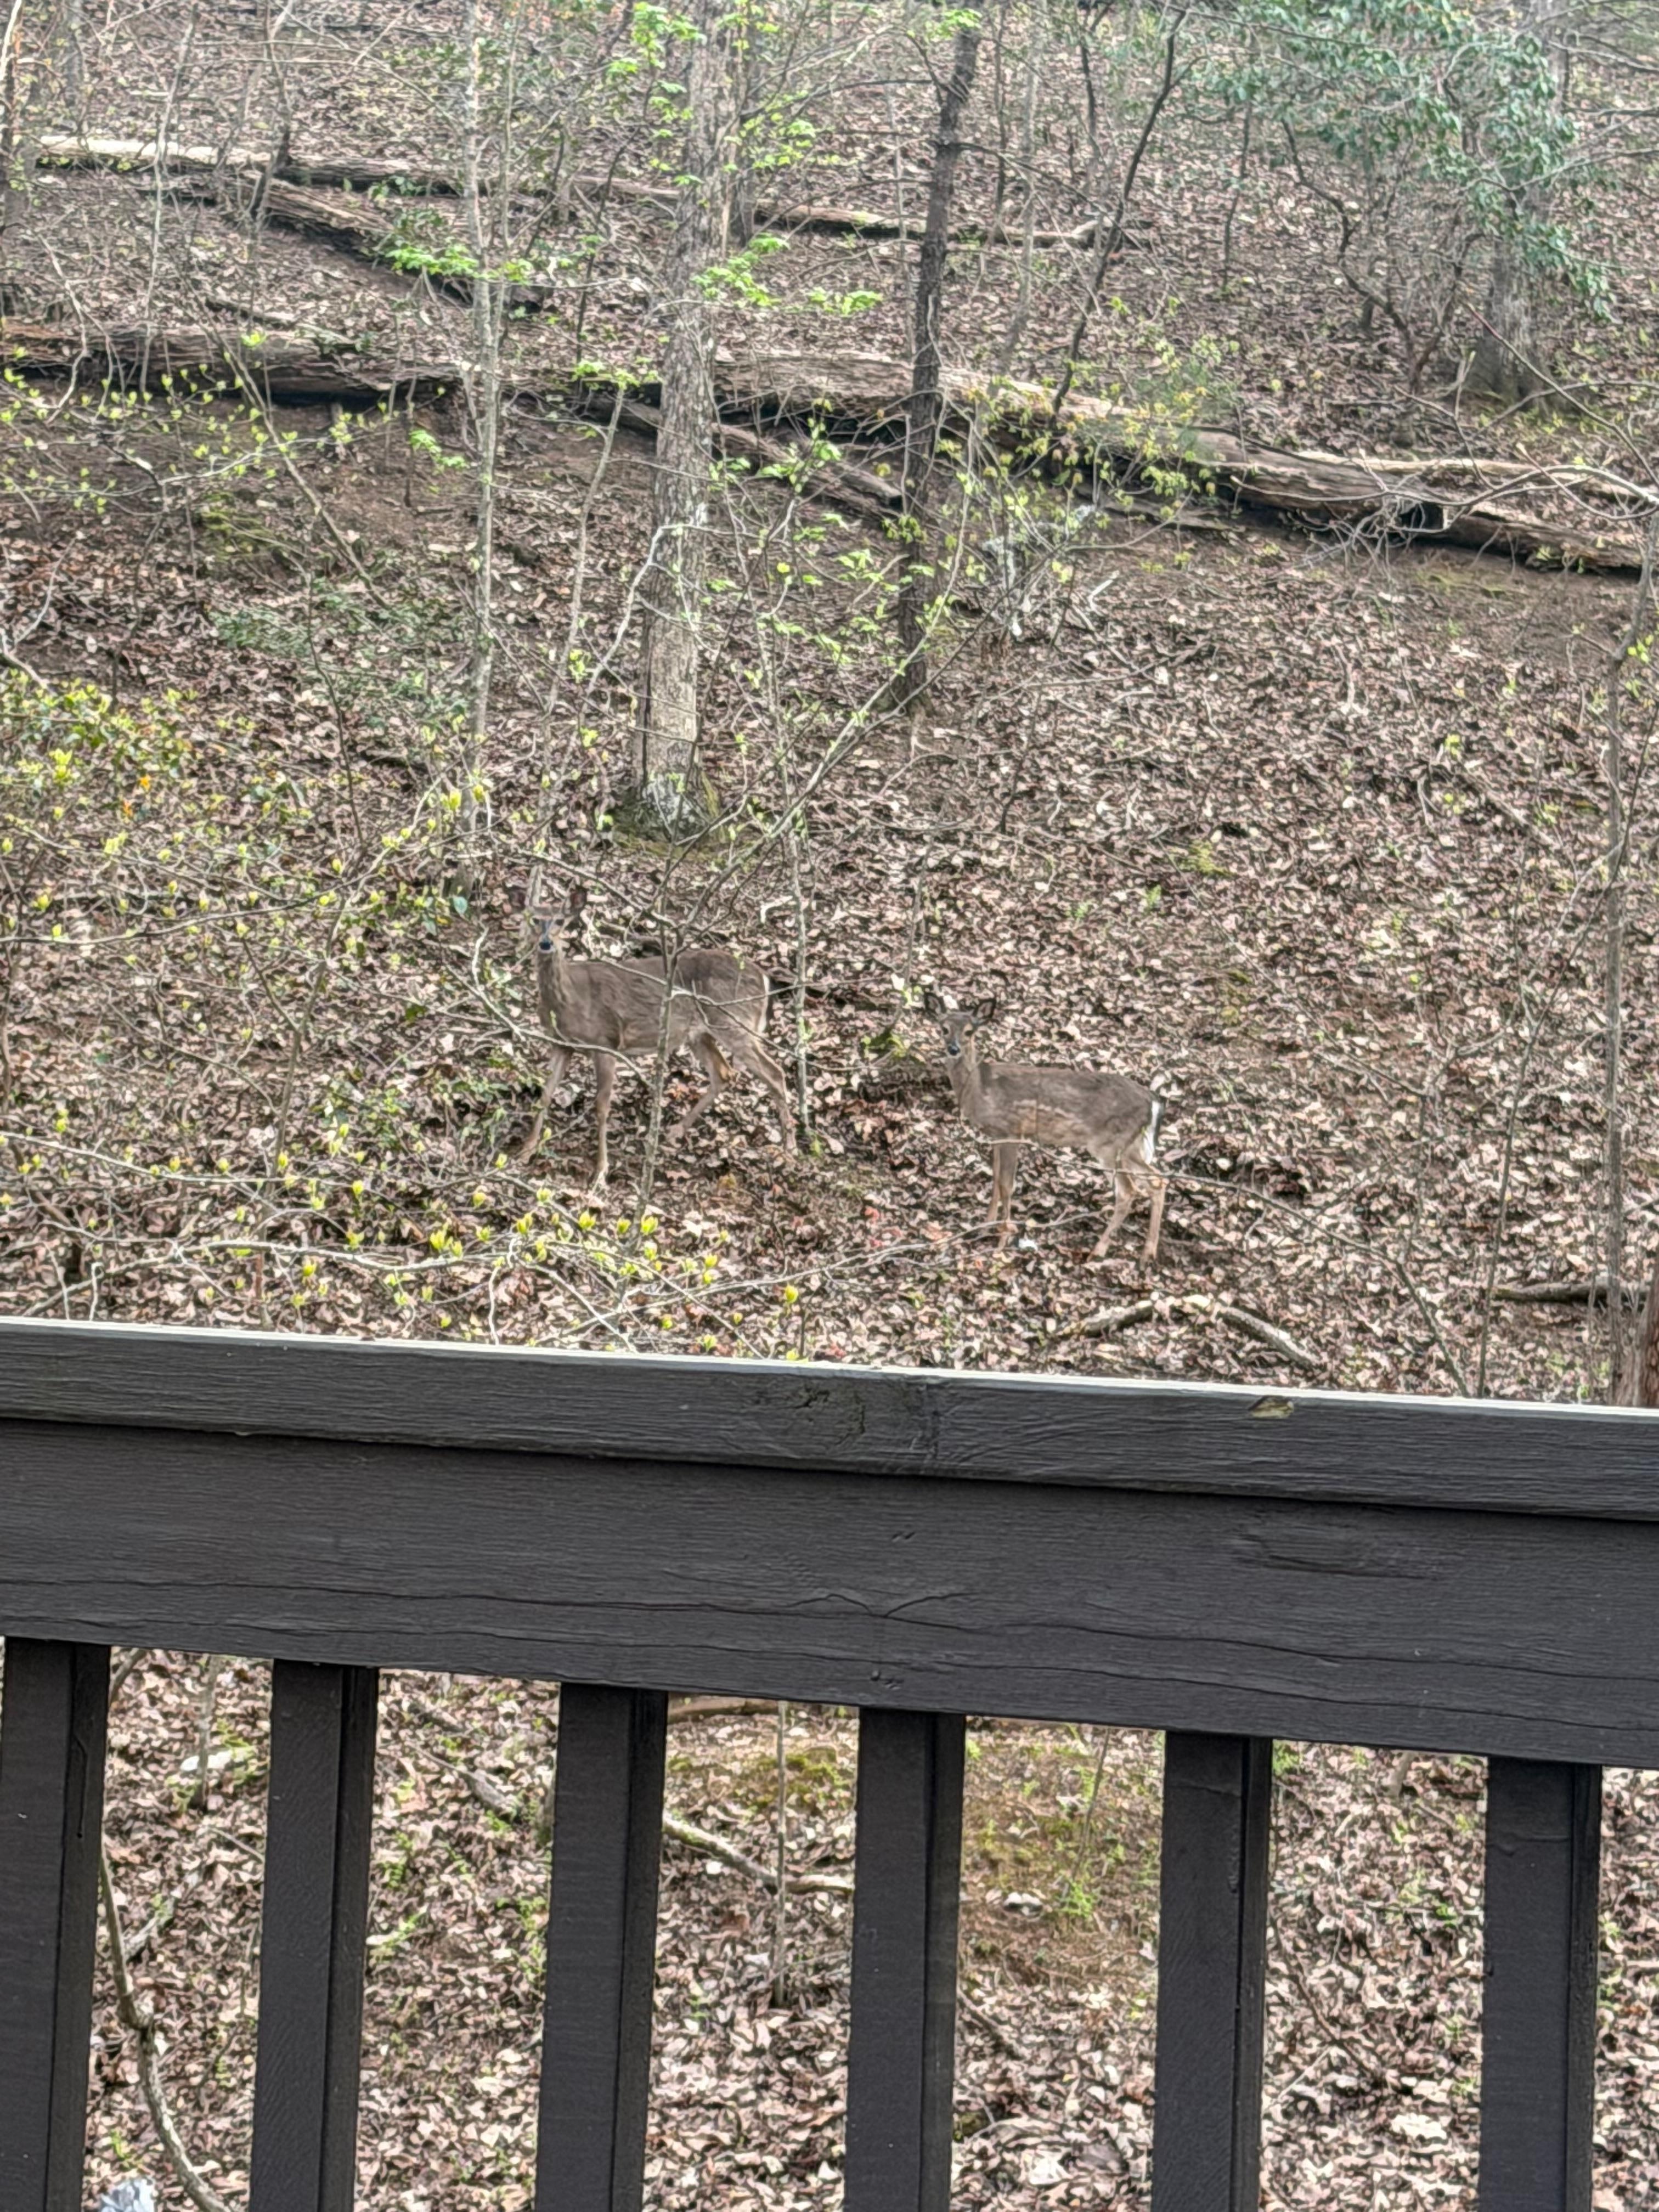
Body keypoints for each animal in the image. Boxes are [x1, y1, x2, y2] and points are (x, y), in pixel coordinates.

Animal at [514, 883, 795, 1184]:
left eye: (561, 921)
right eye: (534, 919)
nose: (546, 943)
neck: (570, 999)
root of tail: (764, 978)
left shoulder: (606, 1041)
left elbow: (602, 1106)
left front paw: (601, 1170)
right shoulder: (561, 1044)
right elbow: (545, 1094)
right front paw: (525, 1151)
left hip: (735, 1022)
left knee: (774, 1072)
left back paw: (789, 1148)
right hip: (700, 1033)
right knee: (724, 1073)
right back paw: (676, 1130)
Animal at [921, 991, 1166, 1263]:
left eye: (969, 1031)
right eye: (943, 1029)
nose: (953, 1049)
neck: (978, 1088)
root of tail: (1152, 1100)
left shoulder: (1012, 1130)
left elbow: (1007, 1185)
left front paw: (1002, 1242)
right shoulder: (996, 1135)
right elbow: (995, 1179)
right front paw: (984, 1226)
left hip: (1110, 1145)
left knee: (1129, 1191)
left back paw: (1099, 1250)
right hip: (1130, 1146)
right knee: (1158, 1181)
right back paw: (1147, 1253)